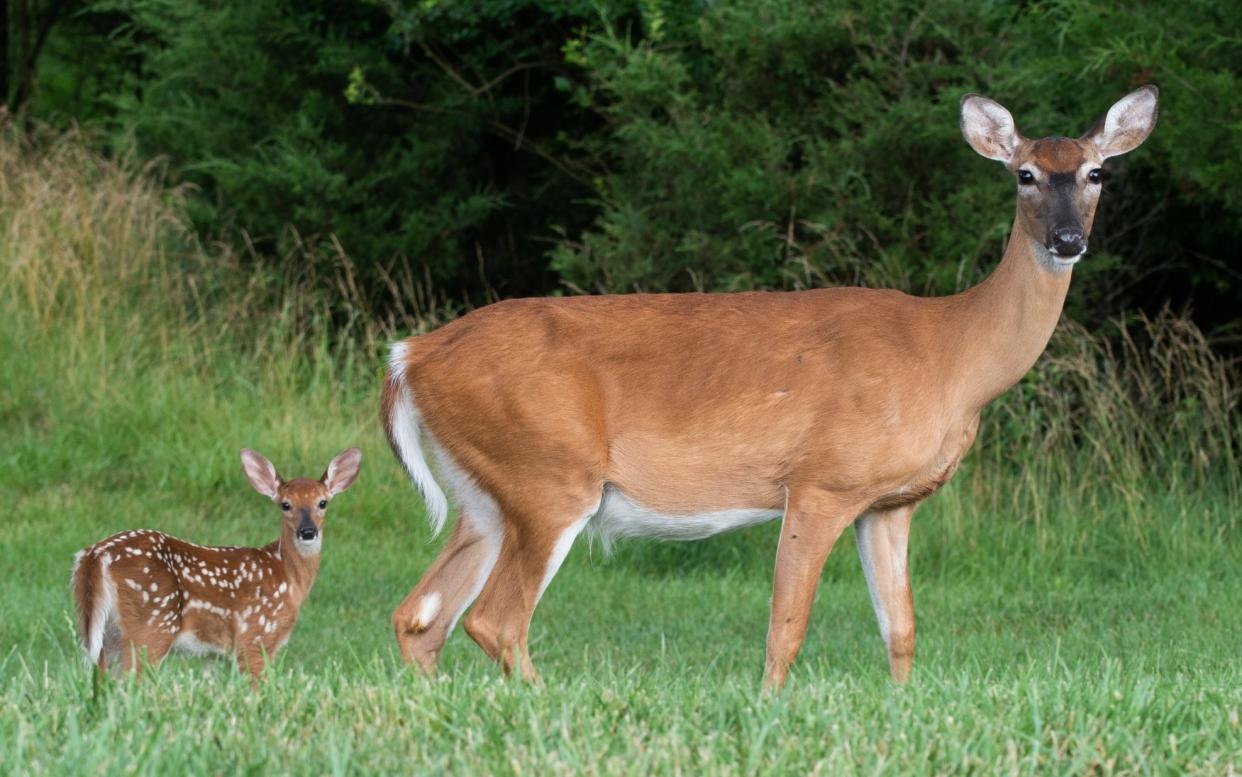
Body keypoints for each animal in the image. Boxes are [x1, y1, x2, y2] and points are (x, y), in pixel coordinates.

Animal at [74, 446, 360, 675]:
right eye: (285, 504)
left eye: (322, 503)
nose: (308, 532)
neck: (288, 578)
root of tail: (95, 555)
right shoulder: (255, 636)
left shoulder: (213, 653)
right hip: (152, 624)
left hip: (107, 631)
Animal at [382, 87, 1157, 685]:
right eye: (1024, 175)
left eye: (1097, 173)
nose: (1067, 240)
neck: (950, 356)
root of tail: (411, 355)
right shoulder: (823, 480)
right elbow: (787, 626)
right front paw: (768, 707)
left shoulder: (891, 503)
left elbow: (901, 628)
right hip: (549, 474)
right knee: (495, 619)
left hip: (485, 495)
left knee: (420, 615)